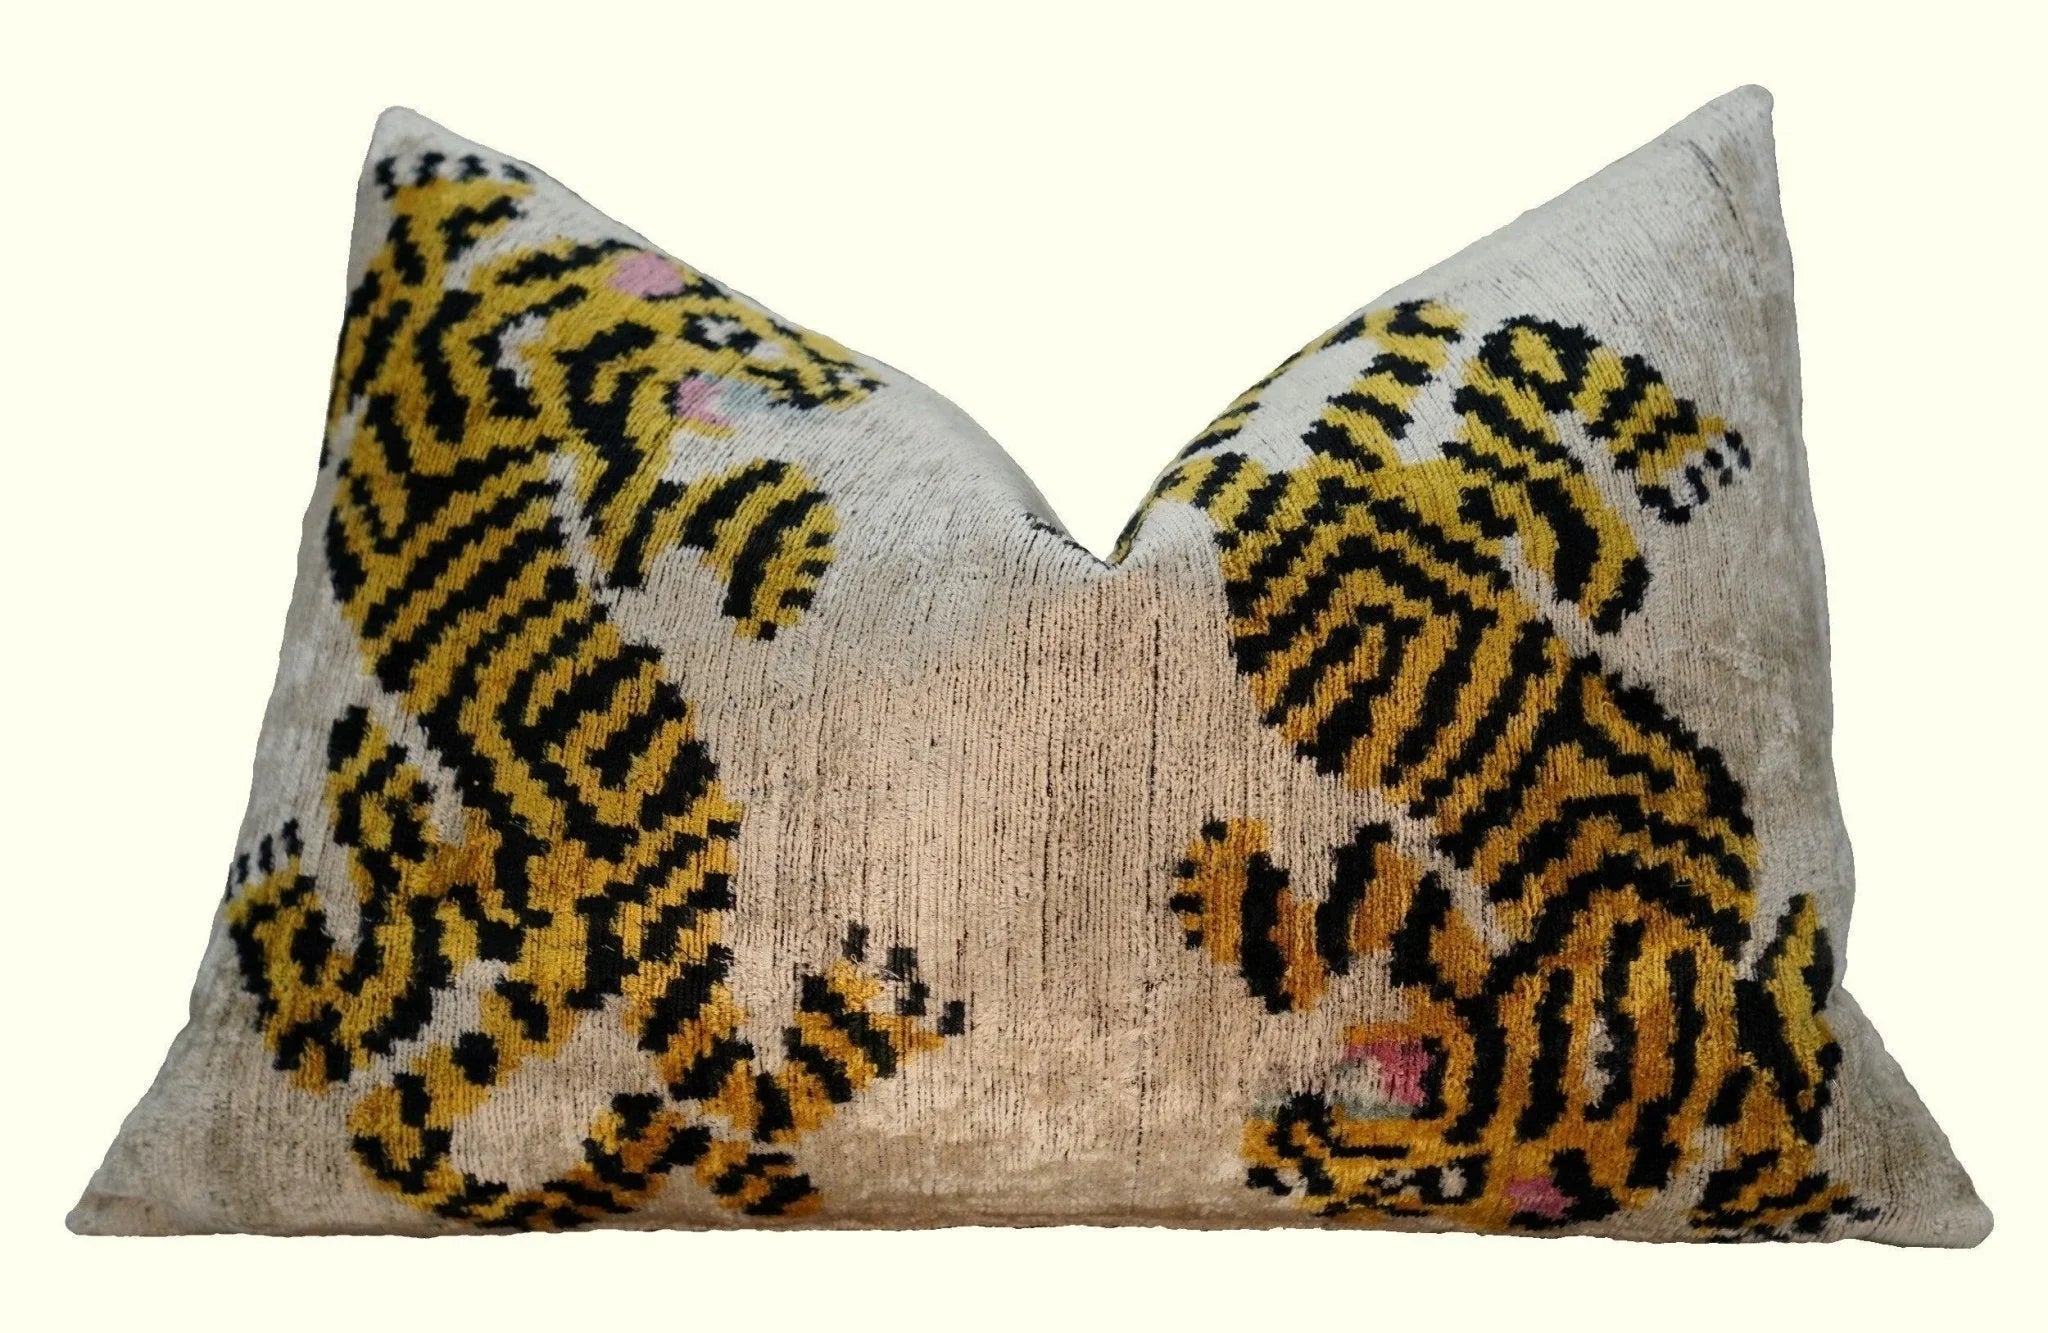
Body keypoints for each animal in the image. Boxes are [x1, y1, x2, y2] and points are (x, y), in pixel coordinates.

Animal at [223, 151, 965, 1229]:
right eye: (742, 334)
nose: (840, 379)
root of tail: (570, 926)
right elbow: (639, 468)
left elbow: (648, 488)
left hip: (520, 909)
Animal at [1137, 299, 1871, 1239]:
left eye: (1443, 1184)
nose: (1273, 1142)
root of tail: (1278, 509)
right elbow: (1355, 914)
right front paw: (1229, 889)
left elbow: (1370, 912)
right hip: (1424, 522)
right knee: (1511, 431)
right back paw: (1633, 508)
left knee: (1498, 444)